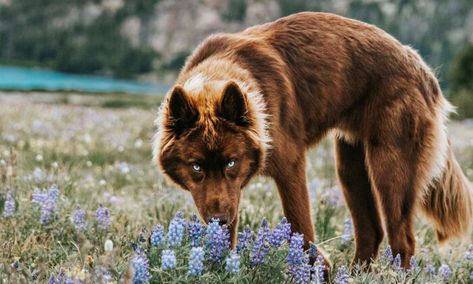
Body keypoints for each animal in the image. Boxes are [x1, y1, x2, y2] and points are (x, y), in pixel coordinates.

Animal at [152, 12, 472, 268]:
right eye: (196, 167)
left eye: (231, 162)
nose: (217, 219)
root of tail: (422, 68)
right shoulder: (229, 194)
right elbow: (227, 237)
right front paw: (221, 266)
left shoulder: (289, 166)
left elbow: (300, 226)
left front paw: (318, 270)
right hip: (350, 165)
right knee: (371, 231)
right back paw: (355, 275)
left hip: (390, 168)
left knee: (402, 239)